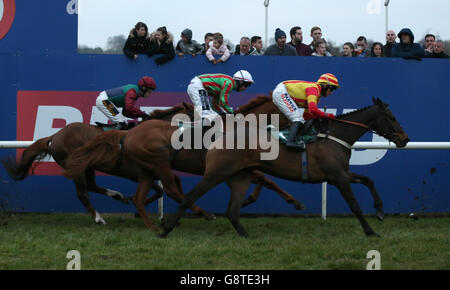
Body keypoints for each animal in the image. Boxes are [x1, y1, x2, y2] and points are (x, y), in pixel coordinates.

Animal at [160, 97, 410, 238]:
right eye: (391, 117)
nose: (405, 139)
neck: (334, 136)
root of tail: (217, 139)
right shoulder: (337, 176)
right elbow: (355, 206)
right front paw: (370, 231)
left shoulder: (340, 174)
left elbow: (369, 180)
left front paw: (380, 211)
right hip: (216, 173)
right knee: (189, 197)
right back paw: (166, 229)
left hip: (240, 175)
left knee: (232, 210)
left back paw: (246, 235)